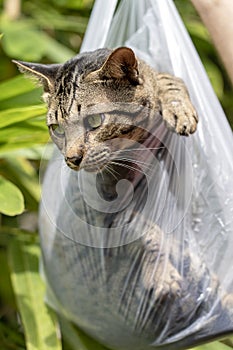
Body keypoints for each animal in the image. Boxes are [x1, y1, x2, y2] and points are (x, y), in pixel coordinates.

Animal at [13, 47, 233, 350]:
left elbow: (167, 79)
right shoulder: (106, 208)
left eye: (94, 122)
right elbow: (146, 231)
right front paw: (162, 274)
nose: (71, 158)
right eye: (57, 129)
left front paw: (179, 109)